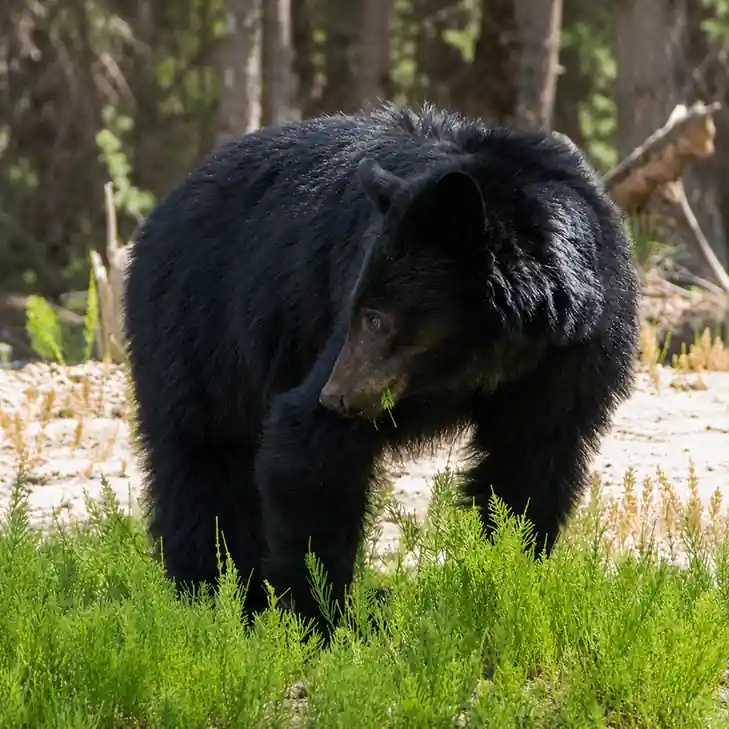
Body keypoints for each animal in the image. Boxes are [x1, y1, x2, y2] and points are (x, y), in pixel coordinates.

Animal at [123, 102, 640, 637]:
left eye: (377, 318)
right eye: (357, 310)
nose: (337, 395)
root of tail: (166, 206)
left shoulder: (575, 357)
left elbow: (529, 465)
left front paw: (501, 577)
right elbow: (308, 447)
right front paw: (318, 616)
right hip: (199, 326)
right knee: (202, 459)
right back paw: (210, 594)